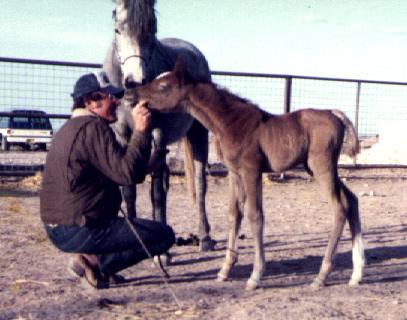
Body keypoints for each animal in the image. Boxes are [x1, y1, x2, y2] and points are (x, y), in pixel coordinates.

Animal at [103, 0, 215, 251]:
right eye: (117, 30)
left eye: (152, 30)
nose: (135, 81)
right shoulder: (121, 136)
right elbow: (130, 191)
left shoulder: (158, 133)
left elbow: (156, 193)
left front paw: (163, 254)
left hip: (198, 134)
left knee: (200, 184)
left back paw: (204, 238)